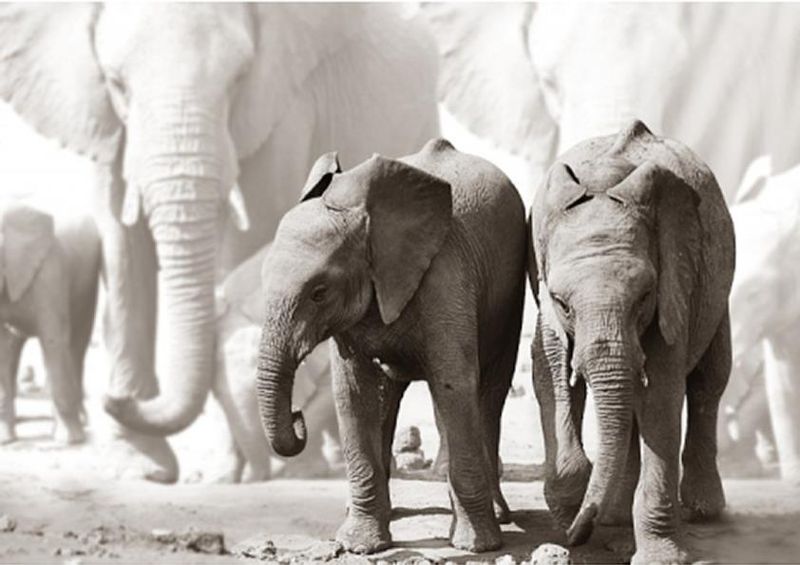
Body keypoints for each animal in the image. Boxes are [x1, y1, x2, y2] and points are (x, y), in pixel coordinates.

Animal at [0, 202, 100, 445]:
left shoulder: (50, 275)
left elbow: (54, 340)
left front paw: (70, 441)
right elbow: (3, 347)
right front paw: (5, 441)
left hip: (87, 286)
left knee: (76, 346)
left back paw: (78, 426)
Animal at [254, 139, 527, 553]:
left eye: (319, 293)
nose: (298, 418)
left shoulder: (445, 277)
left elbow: (453, 385)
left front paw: (476, 547)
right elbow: (354, 395)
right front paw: (361, 545)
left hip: (510, 300)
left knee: (489, 394)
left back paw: (498, 516)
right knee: (389, 397)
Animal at [528, 120, 735, 564]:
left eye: (643, 297)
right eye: (561, 302)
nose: (574, 537)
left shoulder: (675, 281)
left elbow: (661, 398)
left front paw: (660, 557)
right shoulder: (540, 281)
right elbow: (550, 370)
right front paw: (574, 503)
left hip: (715, 289)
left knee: (710, 381)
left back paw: (703, 511)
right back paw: (616, 518)